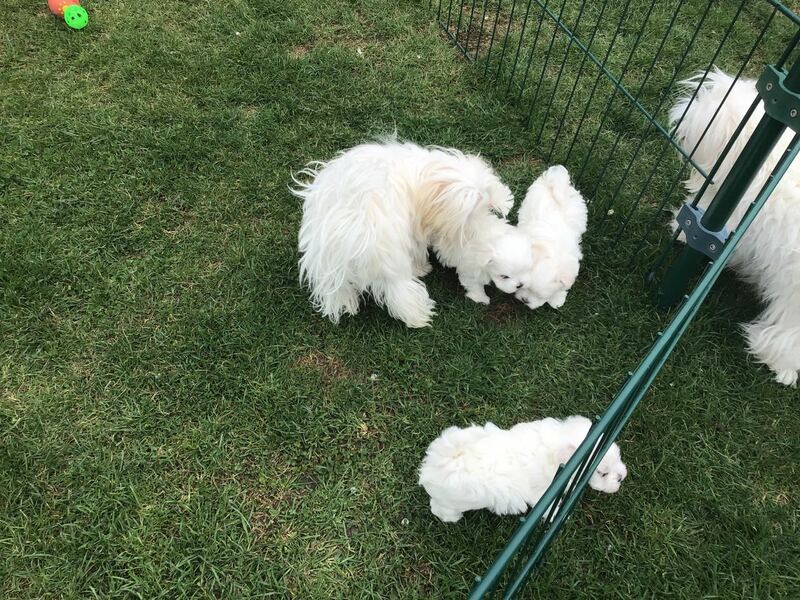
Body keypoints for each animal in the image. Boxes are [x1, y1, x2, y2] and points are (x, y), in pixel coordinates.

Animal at [293, 140, 534, 327]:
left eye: (485, 206)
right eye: (469, 213)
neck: (424, 176)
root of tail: (351, 241)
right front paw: (423, 267)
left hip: (325, 263)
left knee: (334, 289)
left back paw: (345, 304)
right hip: (391, 264)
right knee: (401, 295)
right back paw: (419, 316)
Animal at [418, 415, 627, 523]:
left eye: (618, 456)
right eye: (602, 473)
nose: (621, 478)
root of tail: (440, 460)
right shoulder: (541, 493)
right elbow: (549, 507)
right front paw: (558, 516)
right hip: (450, 501)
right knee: (439, 508)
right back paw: (451, 517)